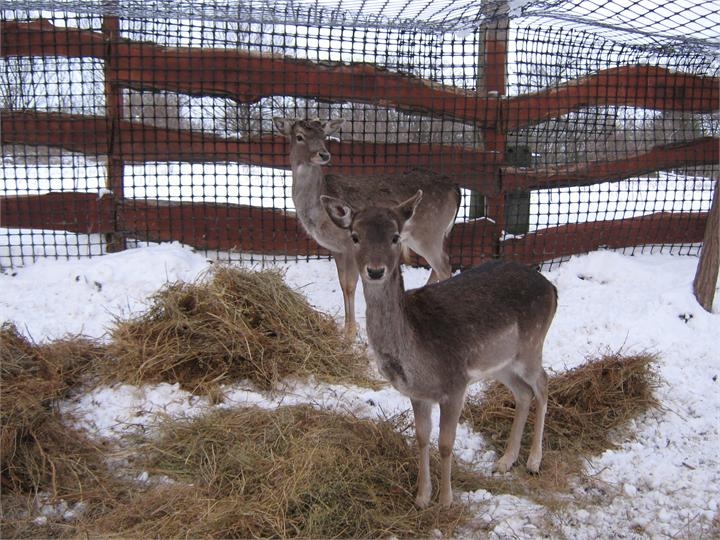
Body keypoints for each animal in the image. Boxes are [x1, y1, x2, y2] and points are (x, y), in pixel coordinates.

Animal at [272, 119, 458, 334]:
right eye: (300, 136)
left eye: (323, 136)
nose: (324, 154)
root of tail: (457, 190)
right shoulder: (336, 249)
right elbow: (342, 284)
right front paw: (345, 328)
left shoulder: (348, 244)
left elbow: (350, 285)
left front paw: (350, 332)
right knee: (438, 266)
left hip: (428, 233)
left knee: (444, 266)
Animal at [322, 191, 564, 510]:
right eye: (355, 236)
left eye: (396, 236)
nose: (375, 270)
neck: (415, 354)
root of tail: (552, 289)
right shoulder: (418, 394)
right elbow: (422, 438)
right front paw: (422, 497)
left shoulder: (455, 385)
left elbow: (446, 443)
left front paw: (447, 500)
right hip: (502, 363)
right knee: (523, 393)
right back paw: (505, 460)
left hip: (531, 347)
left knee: (544, 384)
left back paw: (534, 461)